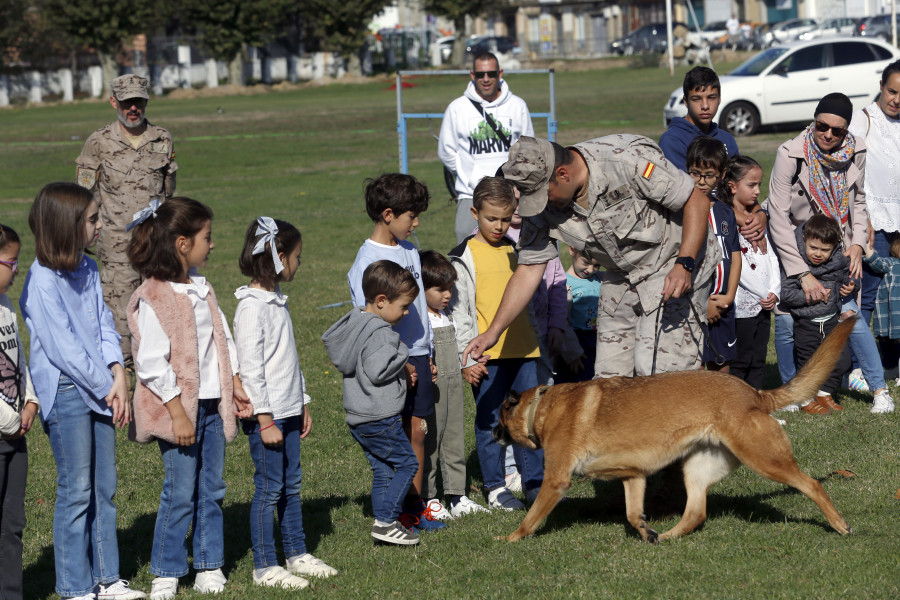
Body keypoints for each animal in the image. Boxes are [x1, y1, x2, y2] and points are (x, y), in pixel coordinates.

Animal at [496, 316, 856, 540]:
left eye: (498, 419)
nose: (493, 435)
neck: (540, 408)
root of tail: (754, 393)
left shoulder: (556, 480)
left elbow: (531, 518)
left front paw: (510, 538)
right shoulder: (633, 477)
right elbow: (633, 514)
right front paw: (647, 532)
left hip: (764, 459)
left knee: (812, 485)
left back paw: (840, 525)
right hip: (697, 468)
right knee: (696, 513)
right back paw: (668, 536)